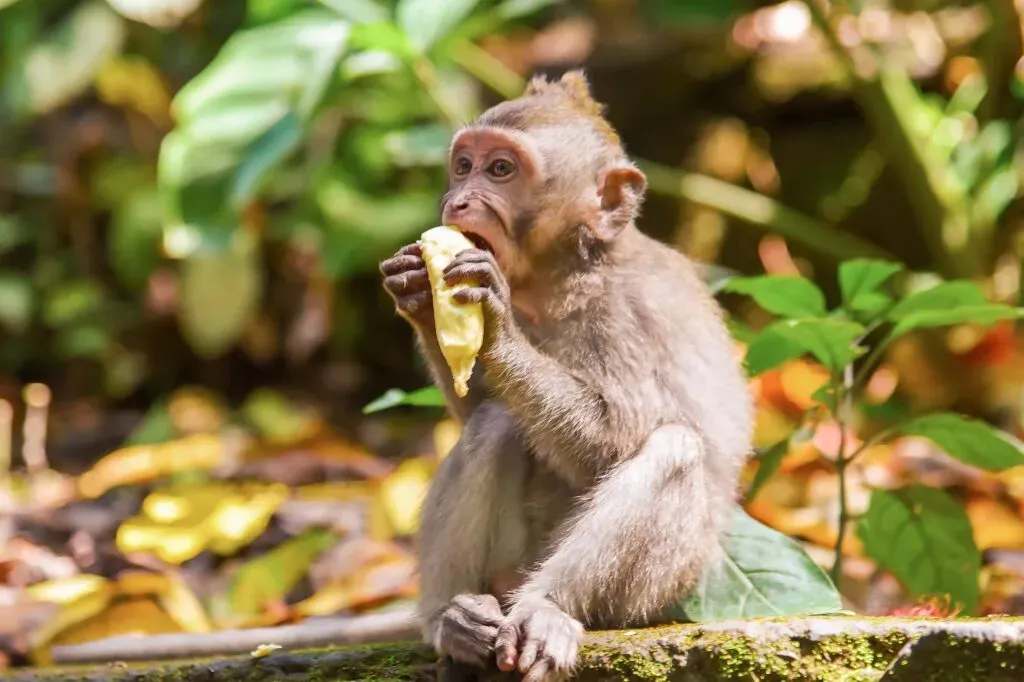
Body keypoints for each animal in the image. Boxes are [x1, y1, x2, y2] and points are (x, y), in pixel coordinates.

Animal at [380, 71, 754, 682]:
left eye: (499, 170)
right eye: (463, 165)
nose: (458, 200)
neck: (567, 275)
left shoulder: (630, 314)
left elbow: (615, 441)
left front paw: (497, 324)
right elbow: (471, 400)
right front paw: (416, 294)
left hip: (658, 589)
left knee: (673, 449)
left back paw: (545, 609)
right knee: (494, 421)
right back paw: (450, 621)